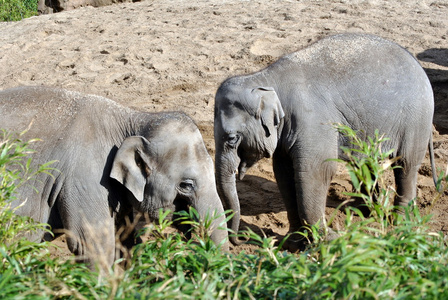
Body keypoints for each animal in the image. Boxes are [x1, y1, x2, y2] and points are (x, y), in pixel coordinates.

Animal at [215, 32, 436, 248]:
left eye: (232, 139)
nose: (241, 239)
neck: (265, 78)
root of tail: (417, 63)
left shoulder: (313, 122)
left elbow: (316, 172)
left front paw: (327, 240)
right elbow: (284, 173)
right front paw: (294, 241)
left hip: (416, 119)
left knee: (406, 165)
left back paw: (400, 223)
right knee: (366, 164)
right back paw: (365, 213)